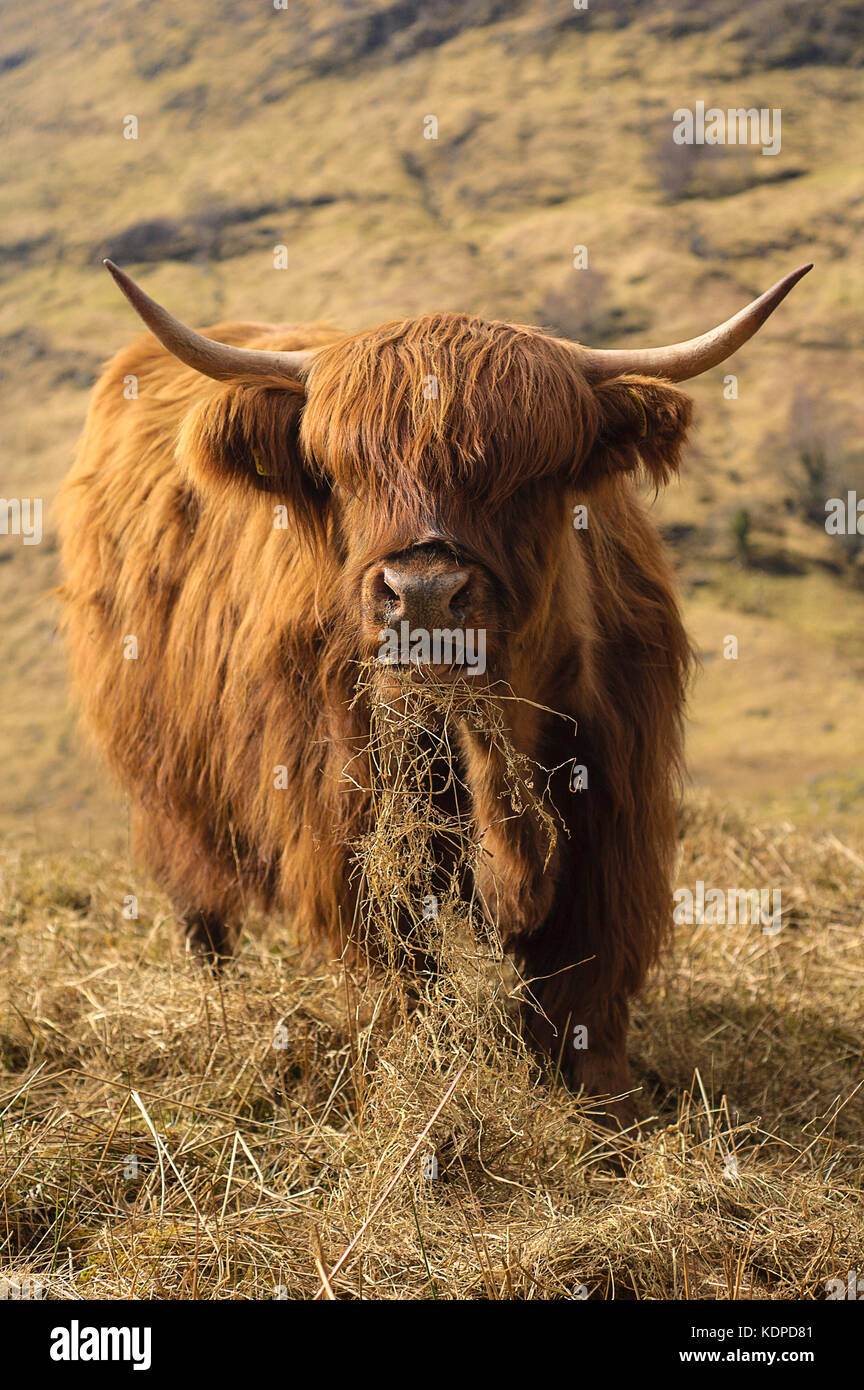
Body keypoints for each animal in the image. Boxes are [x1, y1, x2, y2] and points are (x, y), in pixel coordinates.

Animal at [57, 258, 811, 1124]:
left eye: (527, 476)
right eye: (342, 475)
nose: (421, 593)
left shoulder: (618, 805)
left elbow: (587, 976)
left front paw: (609, 1107)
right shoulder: (344, 814)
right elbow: (399, 969)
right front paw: (410, 1083)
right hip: (166, 778)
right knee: (199, 897)